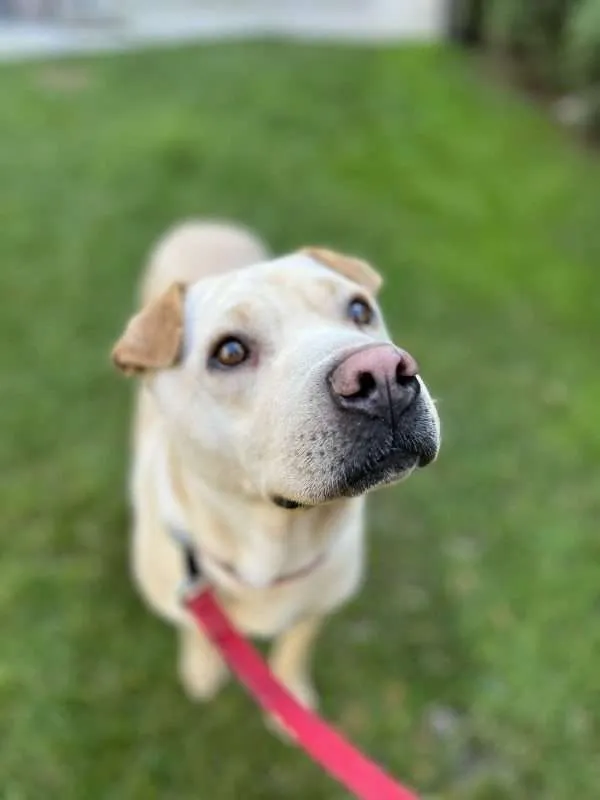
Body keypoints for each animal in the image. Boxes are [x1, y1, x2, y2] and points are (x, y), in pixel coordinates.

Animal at [111, 220, 440, 720]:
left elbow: (299, 640)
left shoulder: (318, 605)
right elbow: (198, 630)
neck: (276, 548)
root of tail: (206, 222)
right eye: (229, 351)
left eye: (359, 309)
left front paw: (291, 695)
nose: (383, 374)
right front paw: (203, 668)